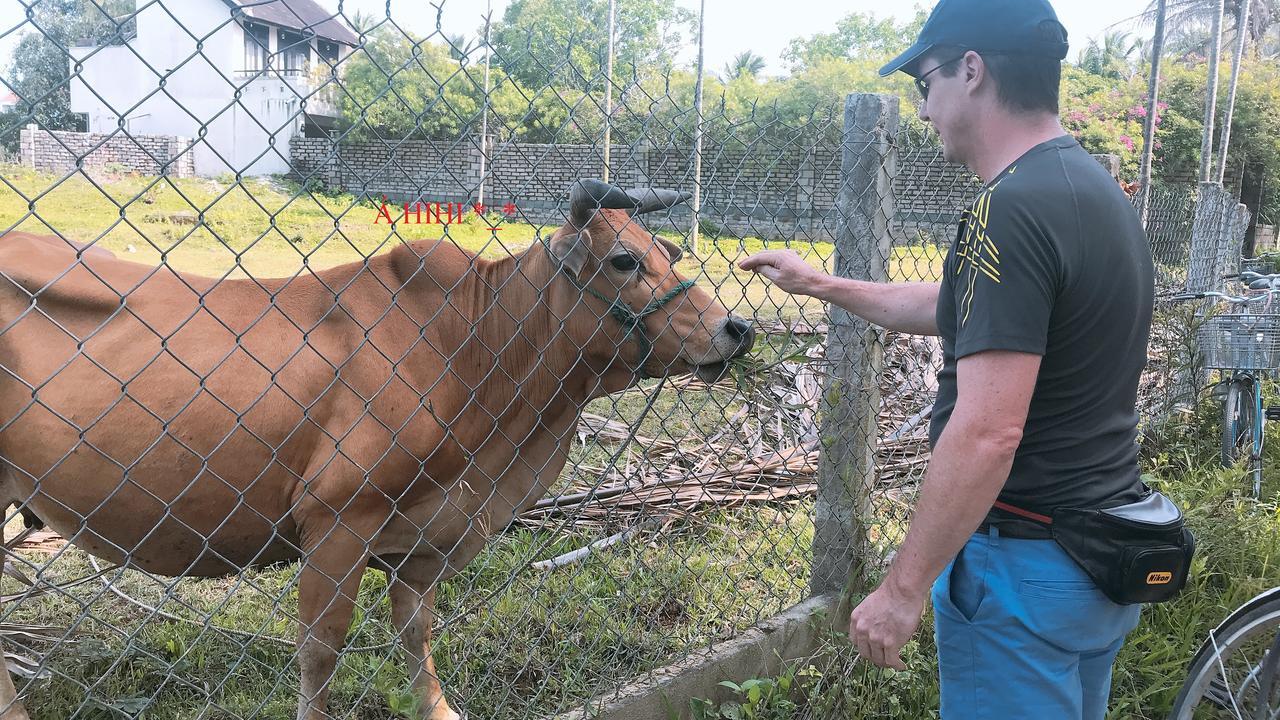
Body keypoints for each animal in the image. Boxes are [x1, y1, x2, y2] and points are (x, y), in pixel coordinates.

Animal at [0, 176, 747, 712]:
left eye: (667, 254)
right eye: (623, 260)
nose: (736, 327)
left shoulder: (427, 532)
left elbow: (417, 633)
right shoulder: (337, 521)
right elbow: (320, 652)